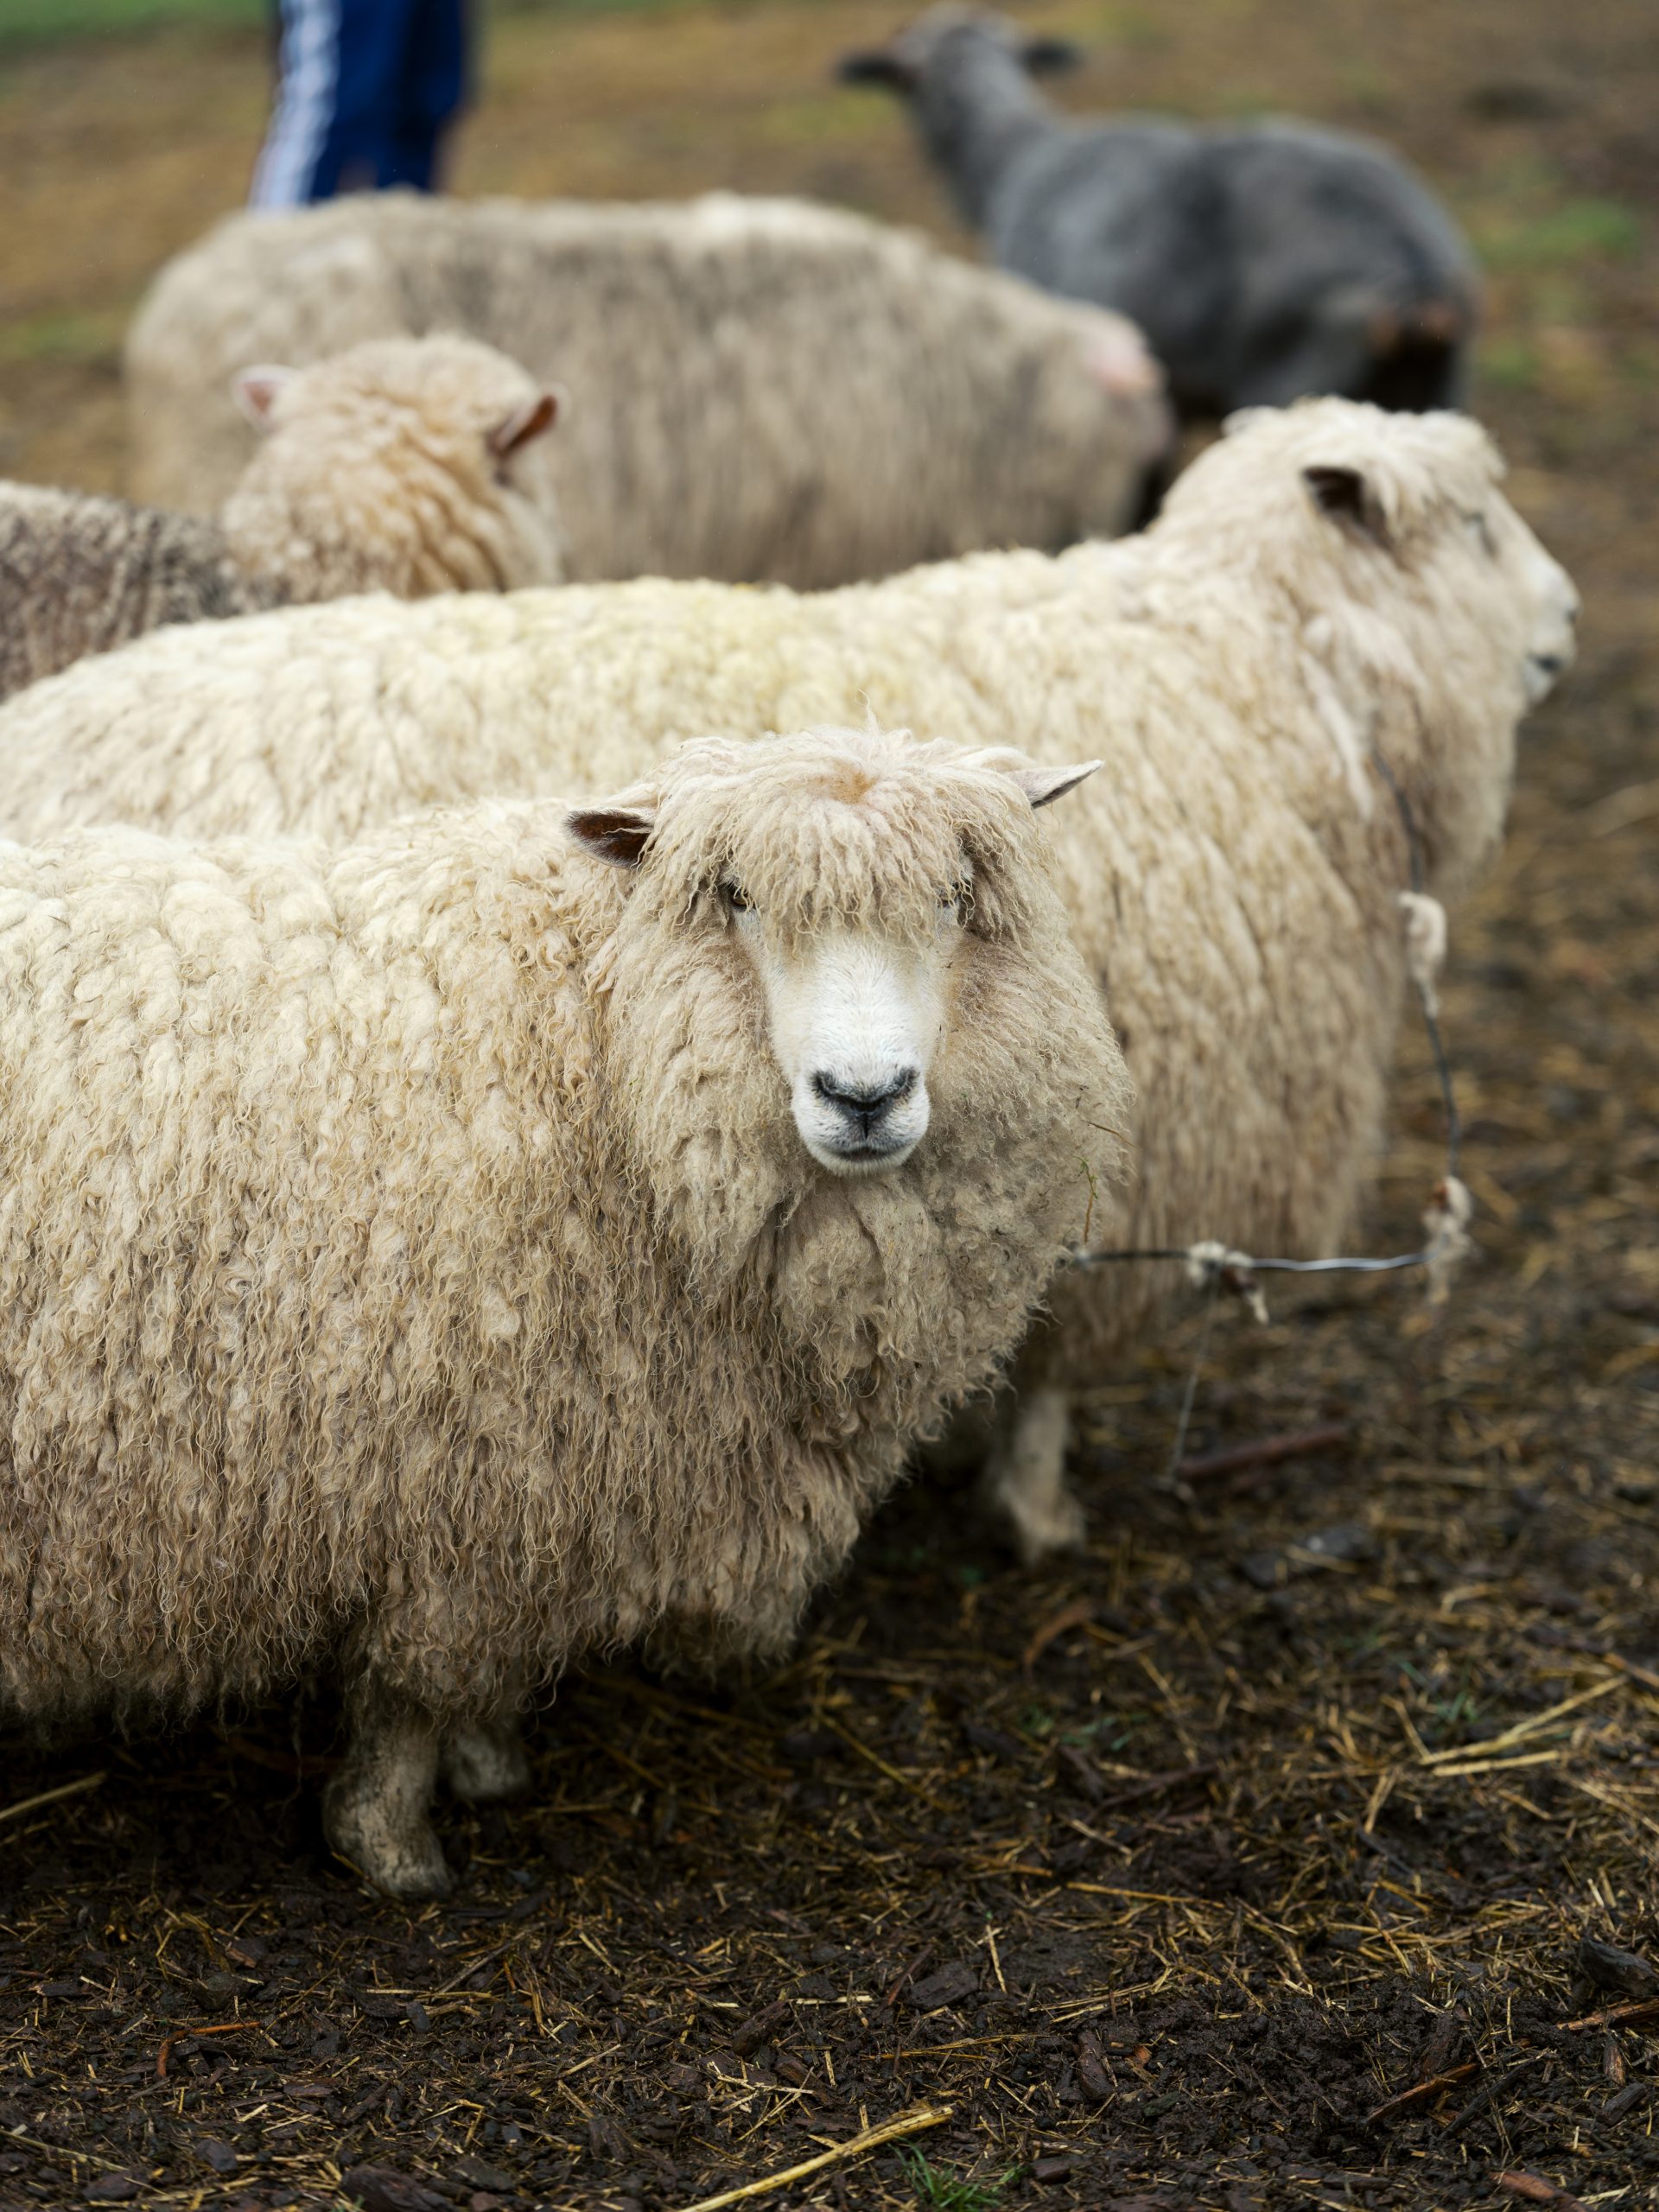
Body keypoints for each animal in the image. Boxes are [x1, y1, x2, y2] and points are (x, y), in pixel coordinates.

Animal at [0, 724, 1129, 1898]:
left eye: (956, 896)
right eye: (733, 895)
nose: (864, 1097)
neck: (595, 1038)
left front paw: (485, 1762)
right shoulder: (464, 1480)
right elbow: (420, 1691)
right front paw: (395, 1843)